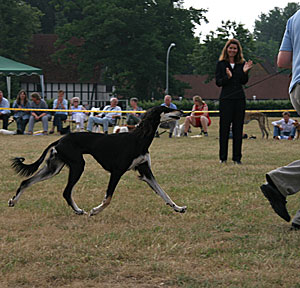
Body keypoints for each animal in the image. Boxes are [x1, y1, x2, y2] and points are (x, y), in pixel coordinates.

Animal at [8, 106, 186, 216]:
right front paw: (95, 210)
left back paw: (13, 201)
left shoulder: (145, 171)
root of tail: (60, 139)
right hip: (78, 165)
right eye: (166, 109)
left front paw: (178, 207)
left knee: (26, 181)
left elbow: (163, 193)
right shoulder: (117, 171)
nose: (182, 111)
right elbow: (108, 198)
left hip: (54, 168)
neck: (139, 139)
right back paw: (79, 211)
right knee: (66, 191)